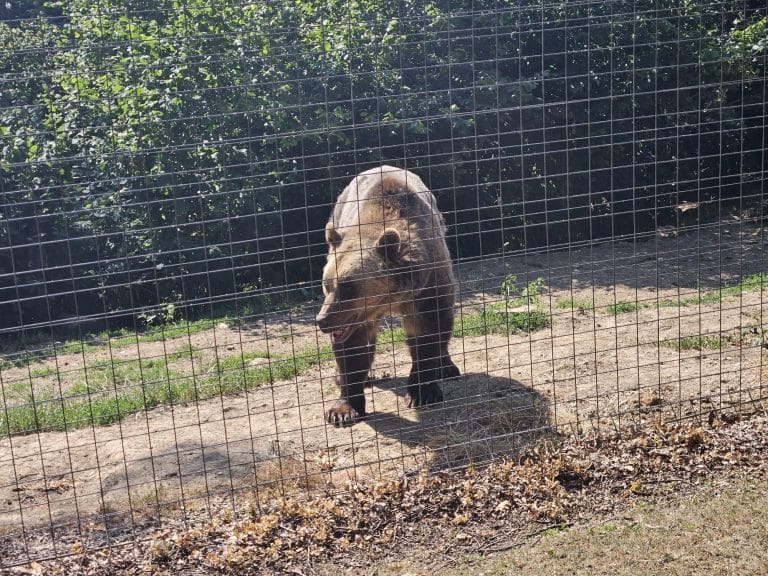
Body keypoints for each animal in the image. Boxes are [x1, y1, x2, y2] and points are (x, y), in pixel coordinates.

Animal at [315, 165, 460, 426]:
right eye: (326, 284)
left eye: (347, 287)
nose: (322, 320)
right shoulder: (356, 317)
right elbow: (353, 350)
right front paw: (343, 410)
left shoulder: (426, 286)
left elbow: (428, 331)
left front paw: (422, 393)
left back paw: (446, 366)